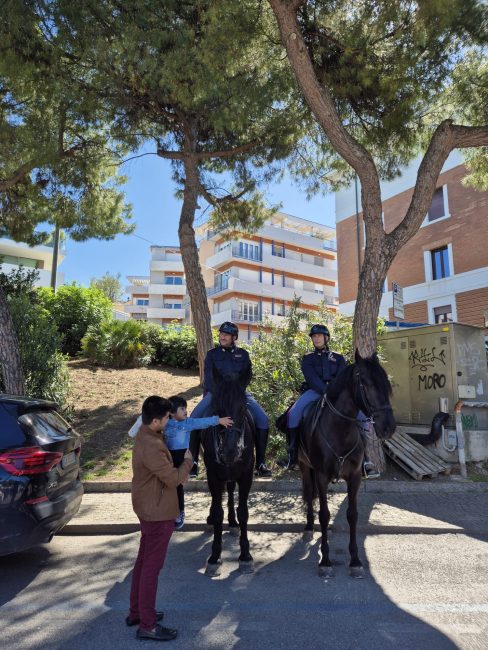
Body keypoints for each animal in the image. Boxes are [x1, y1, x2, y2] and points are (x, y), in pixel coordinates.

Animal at [298, 352, 396, 576]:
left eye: (386, 384)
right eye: (366, 384)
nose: (389, 427)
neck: (339, 431)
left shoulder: (355, 477)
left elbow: (352, 515)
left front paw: (355, 560)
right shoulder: (321, 476)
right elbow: (324, 515)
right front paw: (325, 560)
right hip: (305, 468)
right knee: (309, 494)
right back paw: (309, 527)